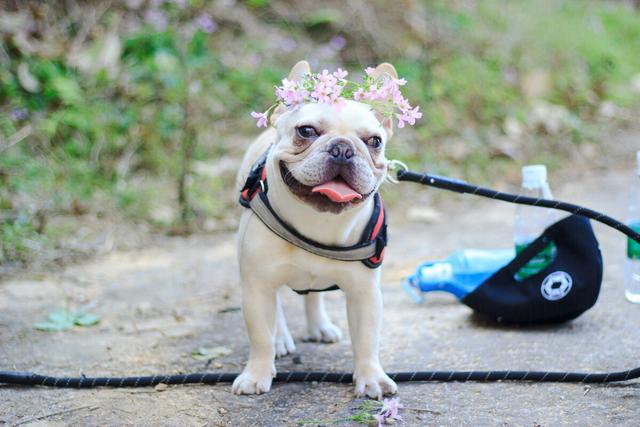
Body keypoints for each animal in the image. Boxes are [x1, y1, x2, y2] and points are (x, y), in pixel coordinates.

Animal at [232, 61, 398, 402]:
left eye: (374, 141)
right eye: (306, 131)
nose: (343, 149)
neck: (317, 220)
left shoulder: (364, 293)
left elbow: (366, 338)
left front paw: (371, 378)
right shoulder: (255, 285)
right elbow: (259, 335)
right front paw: (256, 374)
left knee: (313, 296)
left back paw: (319, 326)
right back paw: (281, 338)